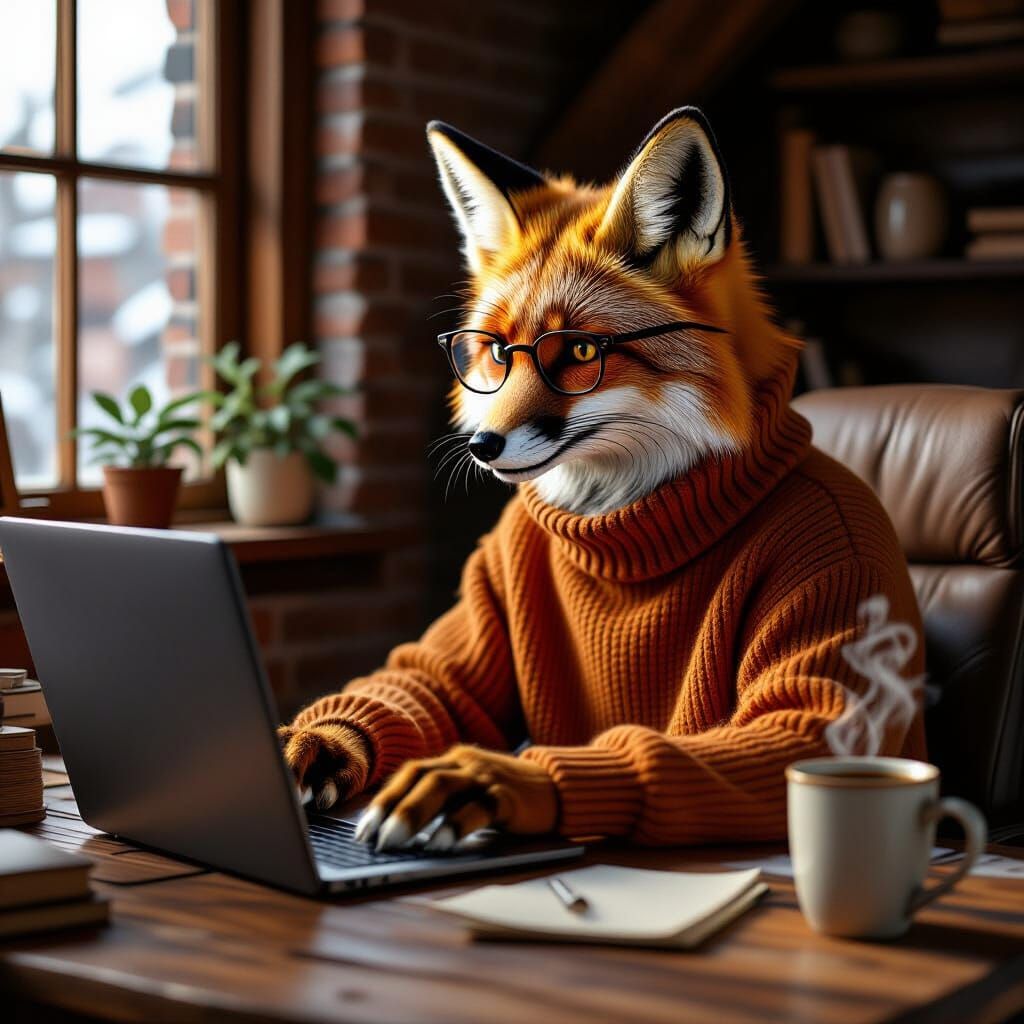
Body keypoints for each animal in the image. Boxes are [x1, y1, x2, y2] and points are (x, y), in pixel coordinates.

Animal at [280, 107, 925, 852]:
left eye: (583, 351)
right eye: (497, 352)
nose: (481, 444)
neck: (629, 520)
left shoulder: (835, 564)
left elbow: (803, 730)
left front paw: (489, 779)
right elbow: (423, 679)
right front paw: (300, 747)